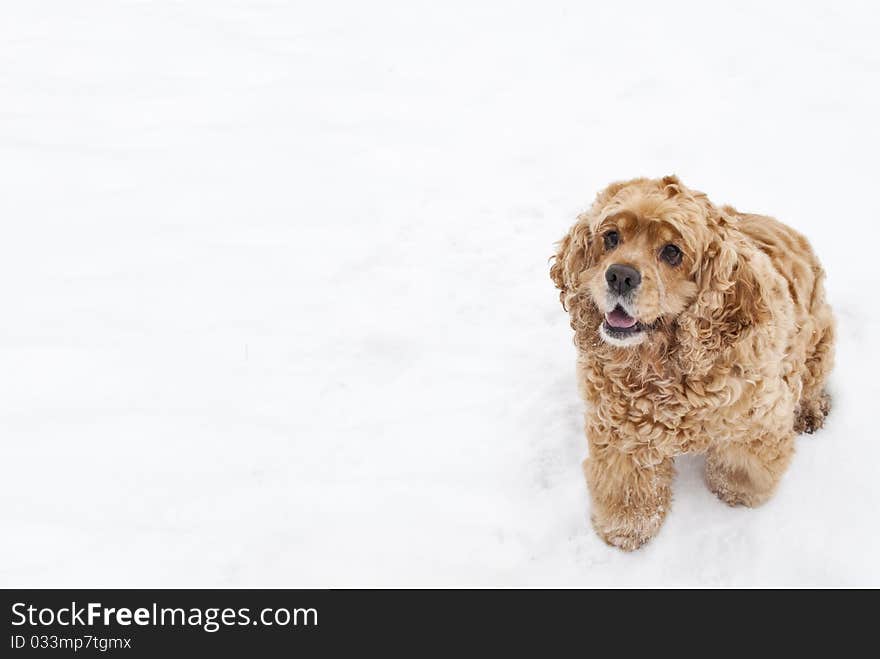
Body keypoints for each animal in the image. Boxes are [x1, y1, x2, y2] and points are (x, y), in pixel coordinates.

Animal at [552, 175, 836, 552]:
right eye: (611, 237)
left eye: (672, 252)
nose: (620, 276)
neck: (664, 365)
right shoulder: (620, 430)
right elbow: (627, 484)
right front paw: (625, 529)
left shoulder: (759, 419)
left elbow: (743, 468)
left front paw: (734, 494)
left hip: (821, 338)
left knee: (812, 382)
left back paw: (811, 412)